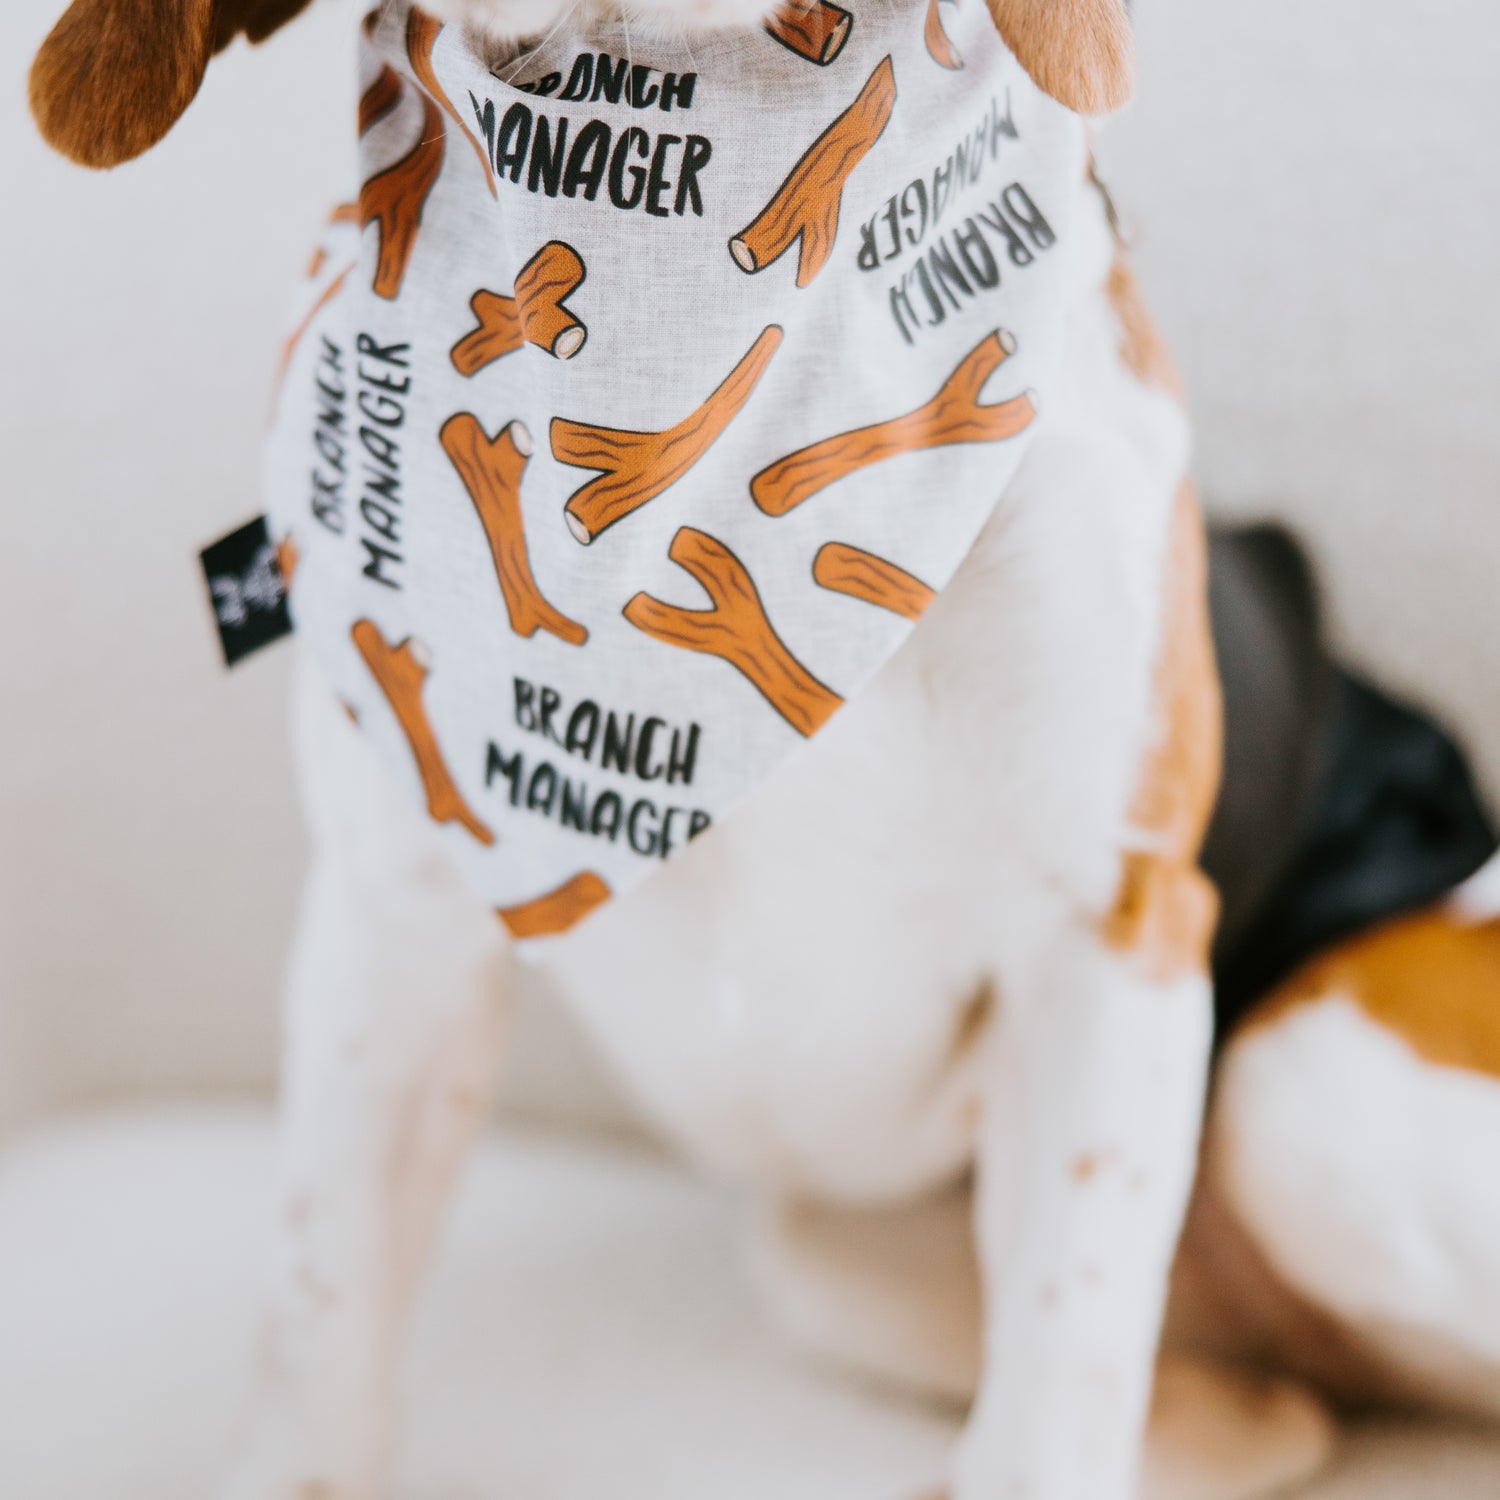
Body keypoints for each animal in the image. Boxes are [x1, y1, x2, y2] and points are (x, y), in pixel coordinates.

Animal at [26, 2, 1500, 1500]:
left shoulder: (1111, 932)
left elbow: (1056, 1390)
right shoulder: (397, 926)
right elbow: (318, 1329)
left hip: (1292, 1087)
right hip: (838, 1252)